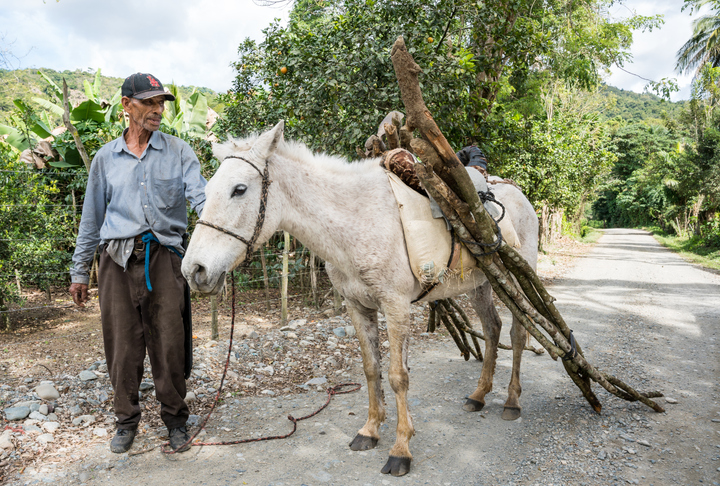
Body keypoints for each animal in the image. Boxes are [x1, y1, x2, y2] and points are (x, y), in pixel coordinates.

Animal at [182, 121, 539, 476]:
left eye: (239, 189)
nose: (193, 270)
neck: (357, 222)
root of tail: (517, 194)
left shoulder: (396, 307)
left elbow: (398, 376)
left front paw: (400, 450)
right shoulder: (358, 307)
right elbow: (371, 368)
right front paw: (370, 431)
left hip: (517, 280)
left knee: (518, 333)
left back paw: (512, 401)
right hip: (481, 284)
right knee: (492, 328)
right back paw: (478, 395)